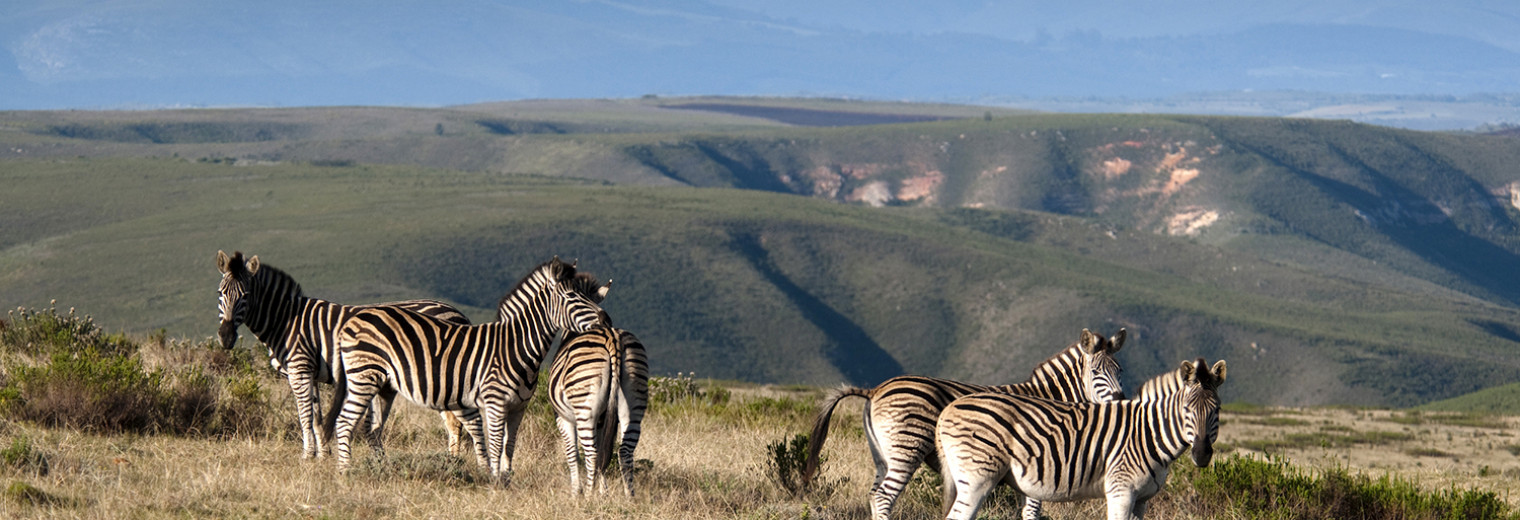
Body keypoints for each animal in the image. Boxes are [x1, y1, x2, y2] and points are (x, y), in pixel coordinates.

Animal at [211, 252, 465, 459]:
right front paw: (322, 454)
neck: (284, 321)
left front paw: (307, 456)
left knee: (454, 422)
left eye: (246, 295)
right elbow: (316, 416)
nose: (225, 337)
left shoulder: (299, 368)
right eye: (220, 293)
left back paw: (453, 463)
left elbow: (304, 415)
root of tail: (457, 313)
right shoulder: (311, 373)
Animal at [335, 255, 608, 483]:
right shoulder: (495, 402)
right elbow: (495, 444)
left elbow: (509, 446)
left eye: (589, 296)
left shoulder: (518, 407)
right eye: (572, 297)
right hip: (364, 377)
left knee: (372, 429)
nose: (606, 319)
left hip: (383, 385)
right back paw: (345, 473)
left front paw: (506, 479)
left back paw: (378, 469)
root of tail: (355, 318)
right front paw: (494, 482)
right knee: (345, 422)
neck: (516, 346)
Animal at [550, 320, 650, 495]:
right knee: (624, 452)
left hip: (585, 410)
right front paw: (604, 493)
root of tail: (613, 338)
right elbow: (604, 452)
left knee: (592, 454)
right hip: (634, 399)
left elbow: (572, 453)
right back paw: (630, 496)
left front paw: (576, 492)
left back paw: (588, 496)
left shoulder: (562, 418)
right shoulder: (602, 421)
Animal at [802, 328, 1124, 520]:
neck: (1049, 398)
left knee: (873, 494)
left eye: (1119, 371)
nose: (1121, 398)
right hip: (907, 447)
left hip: (882, 453)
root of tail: (875, 390)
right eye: (1096, 372)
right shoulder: (1038, 461)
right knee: (883, 497)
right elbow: (1032, 512)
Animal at [930, 357, 1228, 520]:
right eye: (1187, 410)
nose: (1201, 454)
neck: (1148, 434)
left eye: (1217, 409)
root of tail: (949, 408)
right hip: (977, 478)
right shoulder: (1120, 491)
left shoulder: (1142, 500)